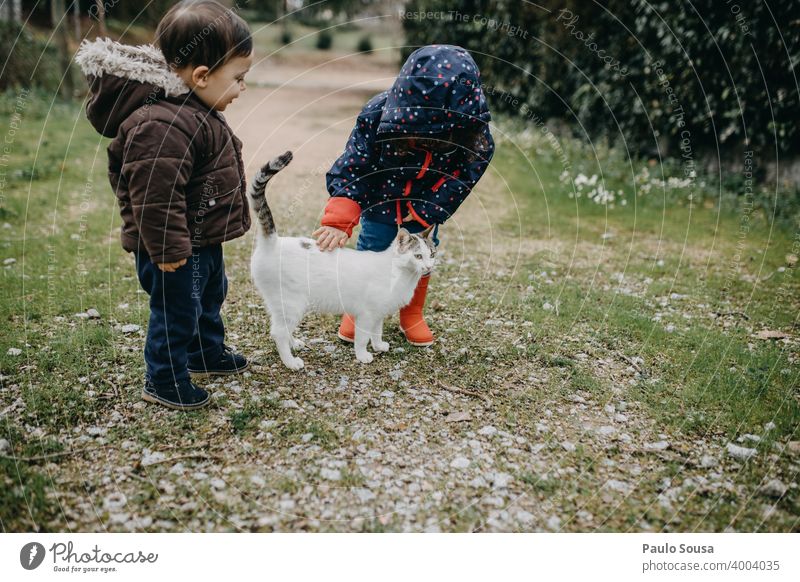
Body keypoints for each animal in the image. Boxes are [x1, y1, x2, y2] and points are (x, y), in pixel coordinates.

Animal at [250, 151, 438, 370]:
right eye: (418, 256)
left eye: (431, 254)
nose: (428, 267)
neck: (400, 274)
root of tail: (273, 242)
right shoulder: (366, 313)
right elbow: (362, 337)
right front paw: (363, 355)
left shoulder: (378, 313)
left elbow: (377, 331)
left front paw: (378, 345)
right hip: (291, 303)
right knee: (278, 332)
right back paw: (290, 361)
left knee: (282, 328)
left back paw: (294, 344)